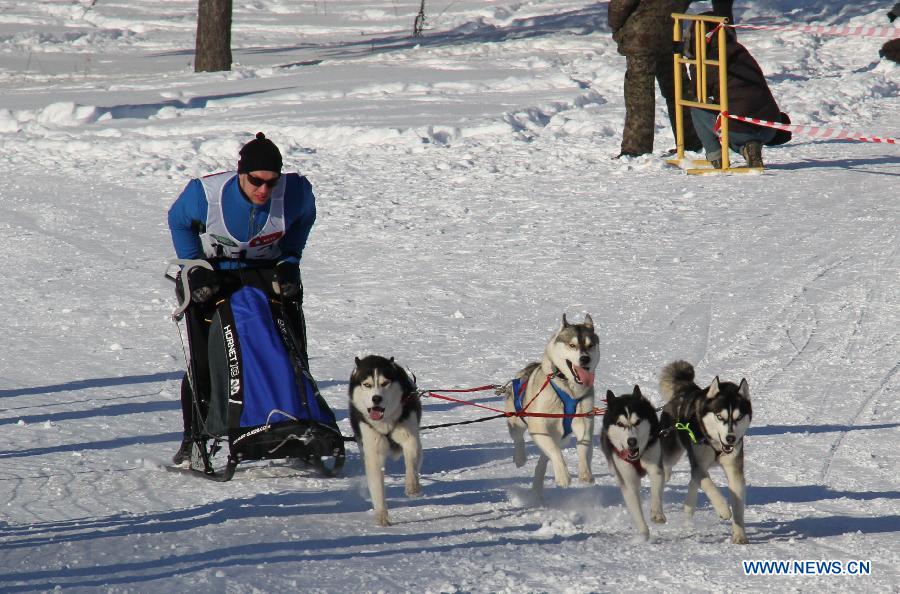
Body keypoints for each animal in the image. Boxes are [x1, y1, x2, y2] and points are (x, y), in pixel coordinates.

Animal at [350, 354, 424, 524]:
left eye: (385, 383)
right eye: (367, 385)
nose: (376, 398)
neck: (385, 423)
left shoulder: (410, 437)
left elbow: (411, 464)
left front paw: (412, 486)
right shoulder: (373, 451)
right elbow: (377, 485)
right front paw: (382, 516)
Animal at [506, 314, 596, 490]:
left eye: (591, 345)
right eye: (572, 345)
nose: (585, 359)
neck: (569, 389)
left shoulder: (584, 421)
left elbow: (584, 446)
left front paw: (585, 473)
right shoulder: (538, 426)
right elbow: (554, 451)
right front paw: (563, 476)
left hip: (560, 437)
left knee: (543, 460)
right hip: (517, 419)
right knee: (519, 438)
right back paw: (520, 458)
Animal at [600, 384, 664, 540]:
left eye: (637, 422)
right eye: (620, 424)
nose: (632, 441)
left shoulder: (655, 468)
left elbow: (656, 492)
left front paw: (657, 513)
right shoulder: (628, 480)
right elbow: (636, 509)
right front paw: (643, 534)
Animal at [660, 358, 752, 544]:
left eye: (738, 418)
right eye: (719, 416)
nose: (730, 438)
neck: (715, 444)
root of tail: (686, 390)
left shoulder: (734, 468)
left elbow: (738, 503)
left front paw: (739, 534)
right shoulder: (699, 463)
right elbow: (709, 484)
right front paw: (723, 509)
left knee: (693, 482)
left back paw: (688, 508)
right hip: (673, 452)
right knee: (667, 468)